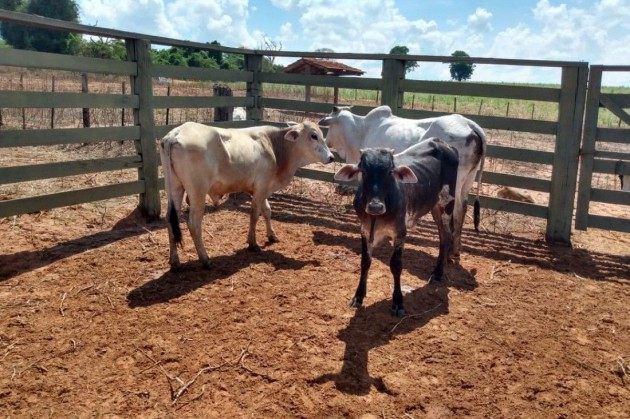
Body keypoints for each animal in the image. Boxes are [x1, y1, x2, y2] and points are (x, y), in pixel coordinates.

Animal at [162, 120, 336, 270]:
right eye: (314, 135)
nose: (332, 157)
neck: (275, 147)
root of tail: (175, 134)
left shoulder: (262, 189)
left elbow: (267, 211)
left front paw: (272, 236)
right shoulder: (261, 186)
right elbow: (255, 214)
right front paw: (253, 243)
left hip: (175, 188)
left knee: (170, 219)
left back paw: (175, 262)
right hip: (197, 191)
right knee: (194, 223)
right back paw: (205, 260)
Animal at [320, 106, 488, 262]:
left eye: (330, 127)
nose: (326, 143)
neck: (362, 130)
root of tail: (469, 124)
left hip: (454, 186)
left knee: (456, 211)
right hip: (468, 180)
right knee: (462, 209)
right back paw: (456, 251)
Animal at [334, 139, 462, 316]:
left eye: (390, 172)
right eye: (363, 171)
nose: (375, 206)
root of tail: (444, 144)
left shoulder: (400, 232)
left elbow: (396, 265)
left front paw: (398, 302)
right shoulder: (365, 230)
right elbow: (365, 261)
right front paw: (358, 296)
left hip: (447, 204)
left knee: (447, 236)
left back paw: (437, 273)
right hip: (435, 206)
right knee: (444, 236)